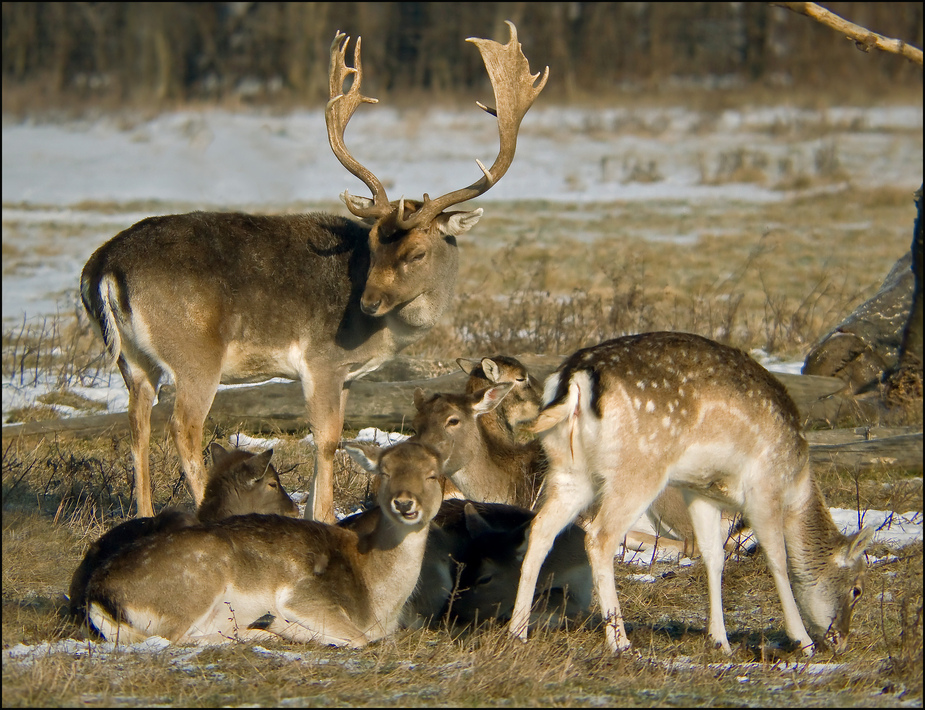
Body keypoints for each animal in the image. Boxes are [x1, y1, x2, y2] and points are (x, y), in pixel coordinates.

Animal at [79, 20, 544, 524]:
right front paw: (324, 518)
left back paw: (143, 514)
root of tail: (105, 266)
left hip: (132, 359)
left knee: (137, 424)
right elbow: (326, 440)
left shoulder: (347, 374)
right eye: (374, 242)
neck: (386, 333)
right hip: (194, 352)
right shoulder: (322, 359)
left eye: (416, 252)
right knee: (183, 428)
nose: (368, 302)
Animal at [85, 444, 444, 652]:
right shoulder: (304, 596)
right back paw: (265, 630)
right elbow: (359, 638)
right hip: (195, 586)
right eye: (384, 472)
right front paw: (284, 627)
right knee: (169, 638)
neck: (378, 598)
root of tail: (98, 597)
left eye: (434, 475)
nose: (404, 503)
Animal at [506, 332, 872, 656]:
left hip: (569, 470)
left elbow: (713, 557)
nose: (841, 640)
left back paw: (518, 632)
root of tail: (574, 380)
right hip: (639, 468)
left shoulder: (701, 491)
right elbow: (778, 559)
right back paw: (621, 643)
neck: (797, 481)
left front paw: (720, 642)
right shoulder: (764, 487)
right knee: (599, 537)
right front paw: (803, 642)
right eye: (856, 589)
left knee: (540, 529)